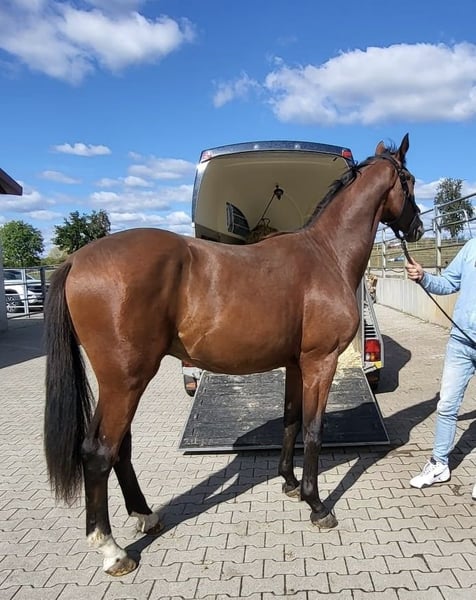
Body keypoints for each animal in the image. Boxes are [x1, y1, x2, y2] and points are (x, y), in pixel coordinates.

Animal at [44, 134, 423, 576]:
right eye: (410, 180)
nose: (416, 227)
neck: (326, 255)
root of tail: (76, 260)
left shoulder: (296, 364)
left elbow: (291, 421)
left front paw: (289, 483)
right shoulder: (320, 362)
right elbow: (314, 430)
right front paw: (317, 505)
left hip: (121, 383)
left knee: (119, 447)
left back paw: (146, 516)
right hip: (125, 381)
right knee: (99, 453)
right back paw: (112, 550)